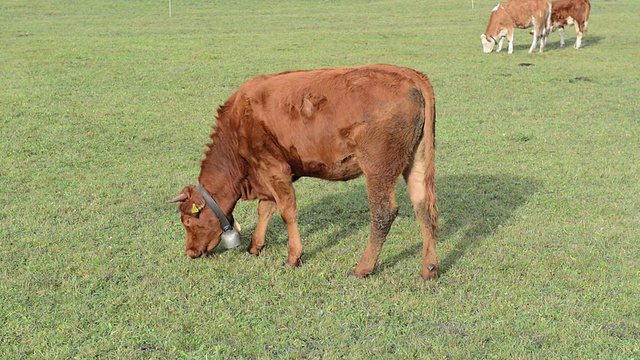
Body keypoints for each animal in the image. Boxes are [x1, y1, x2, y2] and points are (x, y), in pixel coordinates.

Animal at [166, 64, 440, 282]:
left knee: (383, 213)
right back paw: (429, 269)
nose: (190, 252)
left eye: (187, 221)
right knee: (423, 207)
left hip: (378, 167)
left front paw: (293, 256)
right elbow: (266, 208)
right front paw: (256, 246)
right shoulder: (265, 173)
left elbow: (287, 211)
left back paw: (362, 268)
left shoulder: (274, 166)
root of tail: (409, 74)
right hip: (416, 160)